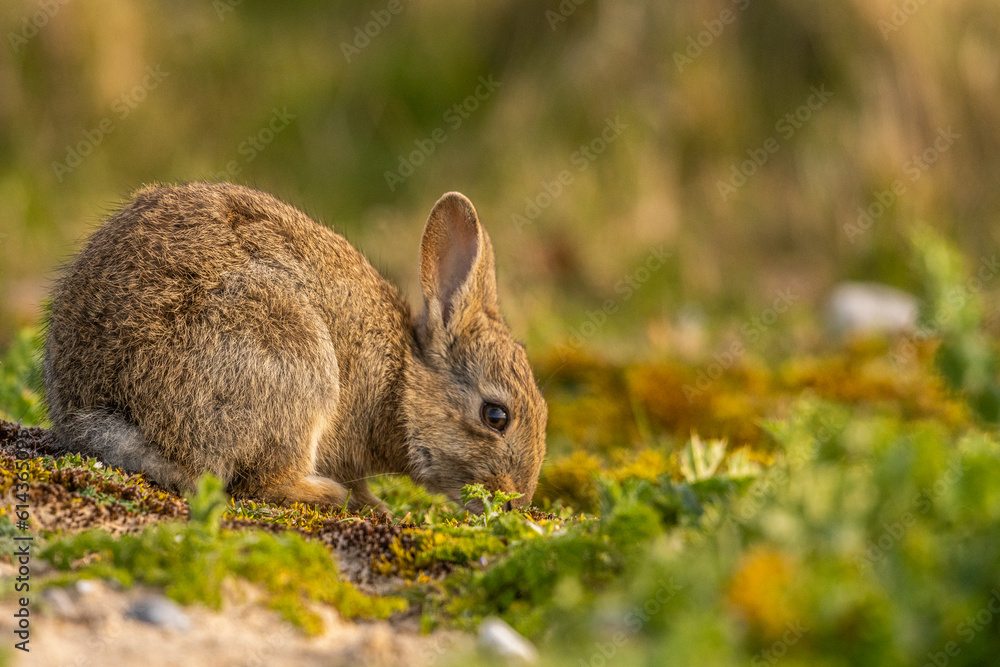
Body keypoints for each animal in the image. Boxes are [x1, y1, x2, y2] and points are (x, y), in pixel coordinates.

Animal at [43, 182, 547, 512]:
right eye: (496, 416)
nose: (518, 502)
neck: (402, 381)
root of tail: (112, 411)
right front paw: (375, 505)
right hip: (291, 365)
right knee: (260, 481)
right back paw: (326, 493)